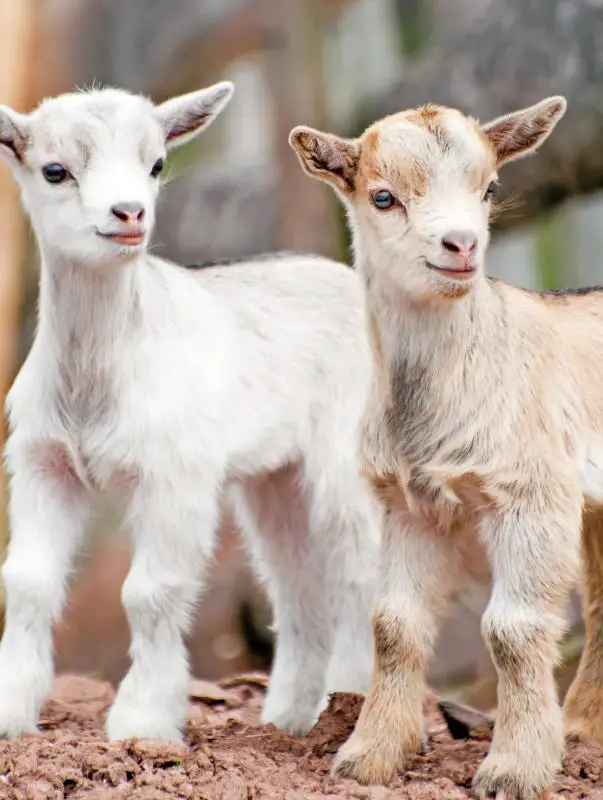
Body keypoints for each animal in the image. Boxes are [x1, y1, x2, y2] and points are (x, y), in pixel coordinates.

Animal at [0, 86, 380, 744]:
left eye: (156, 164)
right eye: (54, 170)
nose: (128, 214)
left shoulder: (176, 474)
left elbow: (150, 593)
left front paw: (143, 721)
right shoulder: (43, 462)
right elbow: (27, 583)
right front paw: (10, 710)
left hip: (346, 454)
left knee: (359, 572)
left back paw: (351, 707)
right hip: (274, 476)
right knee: (295, 582)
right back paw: (290, 718)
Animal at [292, 97, 603, 796]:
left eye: (488, 187)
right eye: (382, 196)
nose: (461, 245)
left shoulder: (532, 492)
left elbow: (511, 630)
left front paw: (515, 769)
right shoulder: (409, 505)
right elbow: (393, 625)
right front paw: (368, 755)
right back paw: (584, 728)